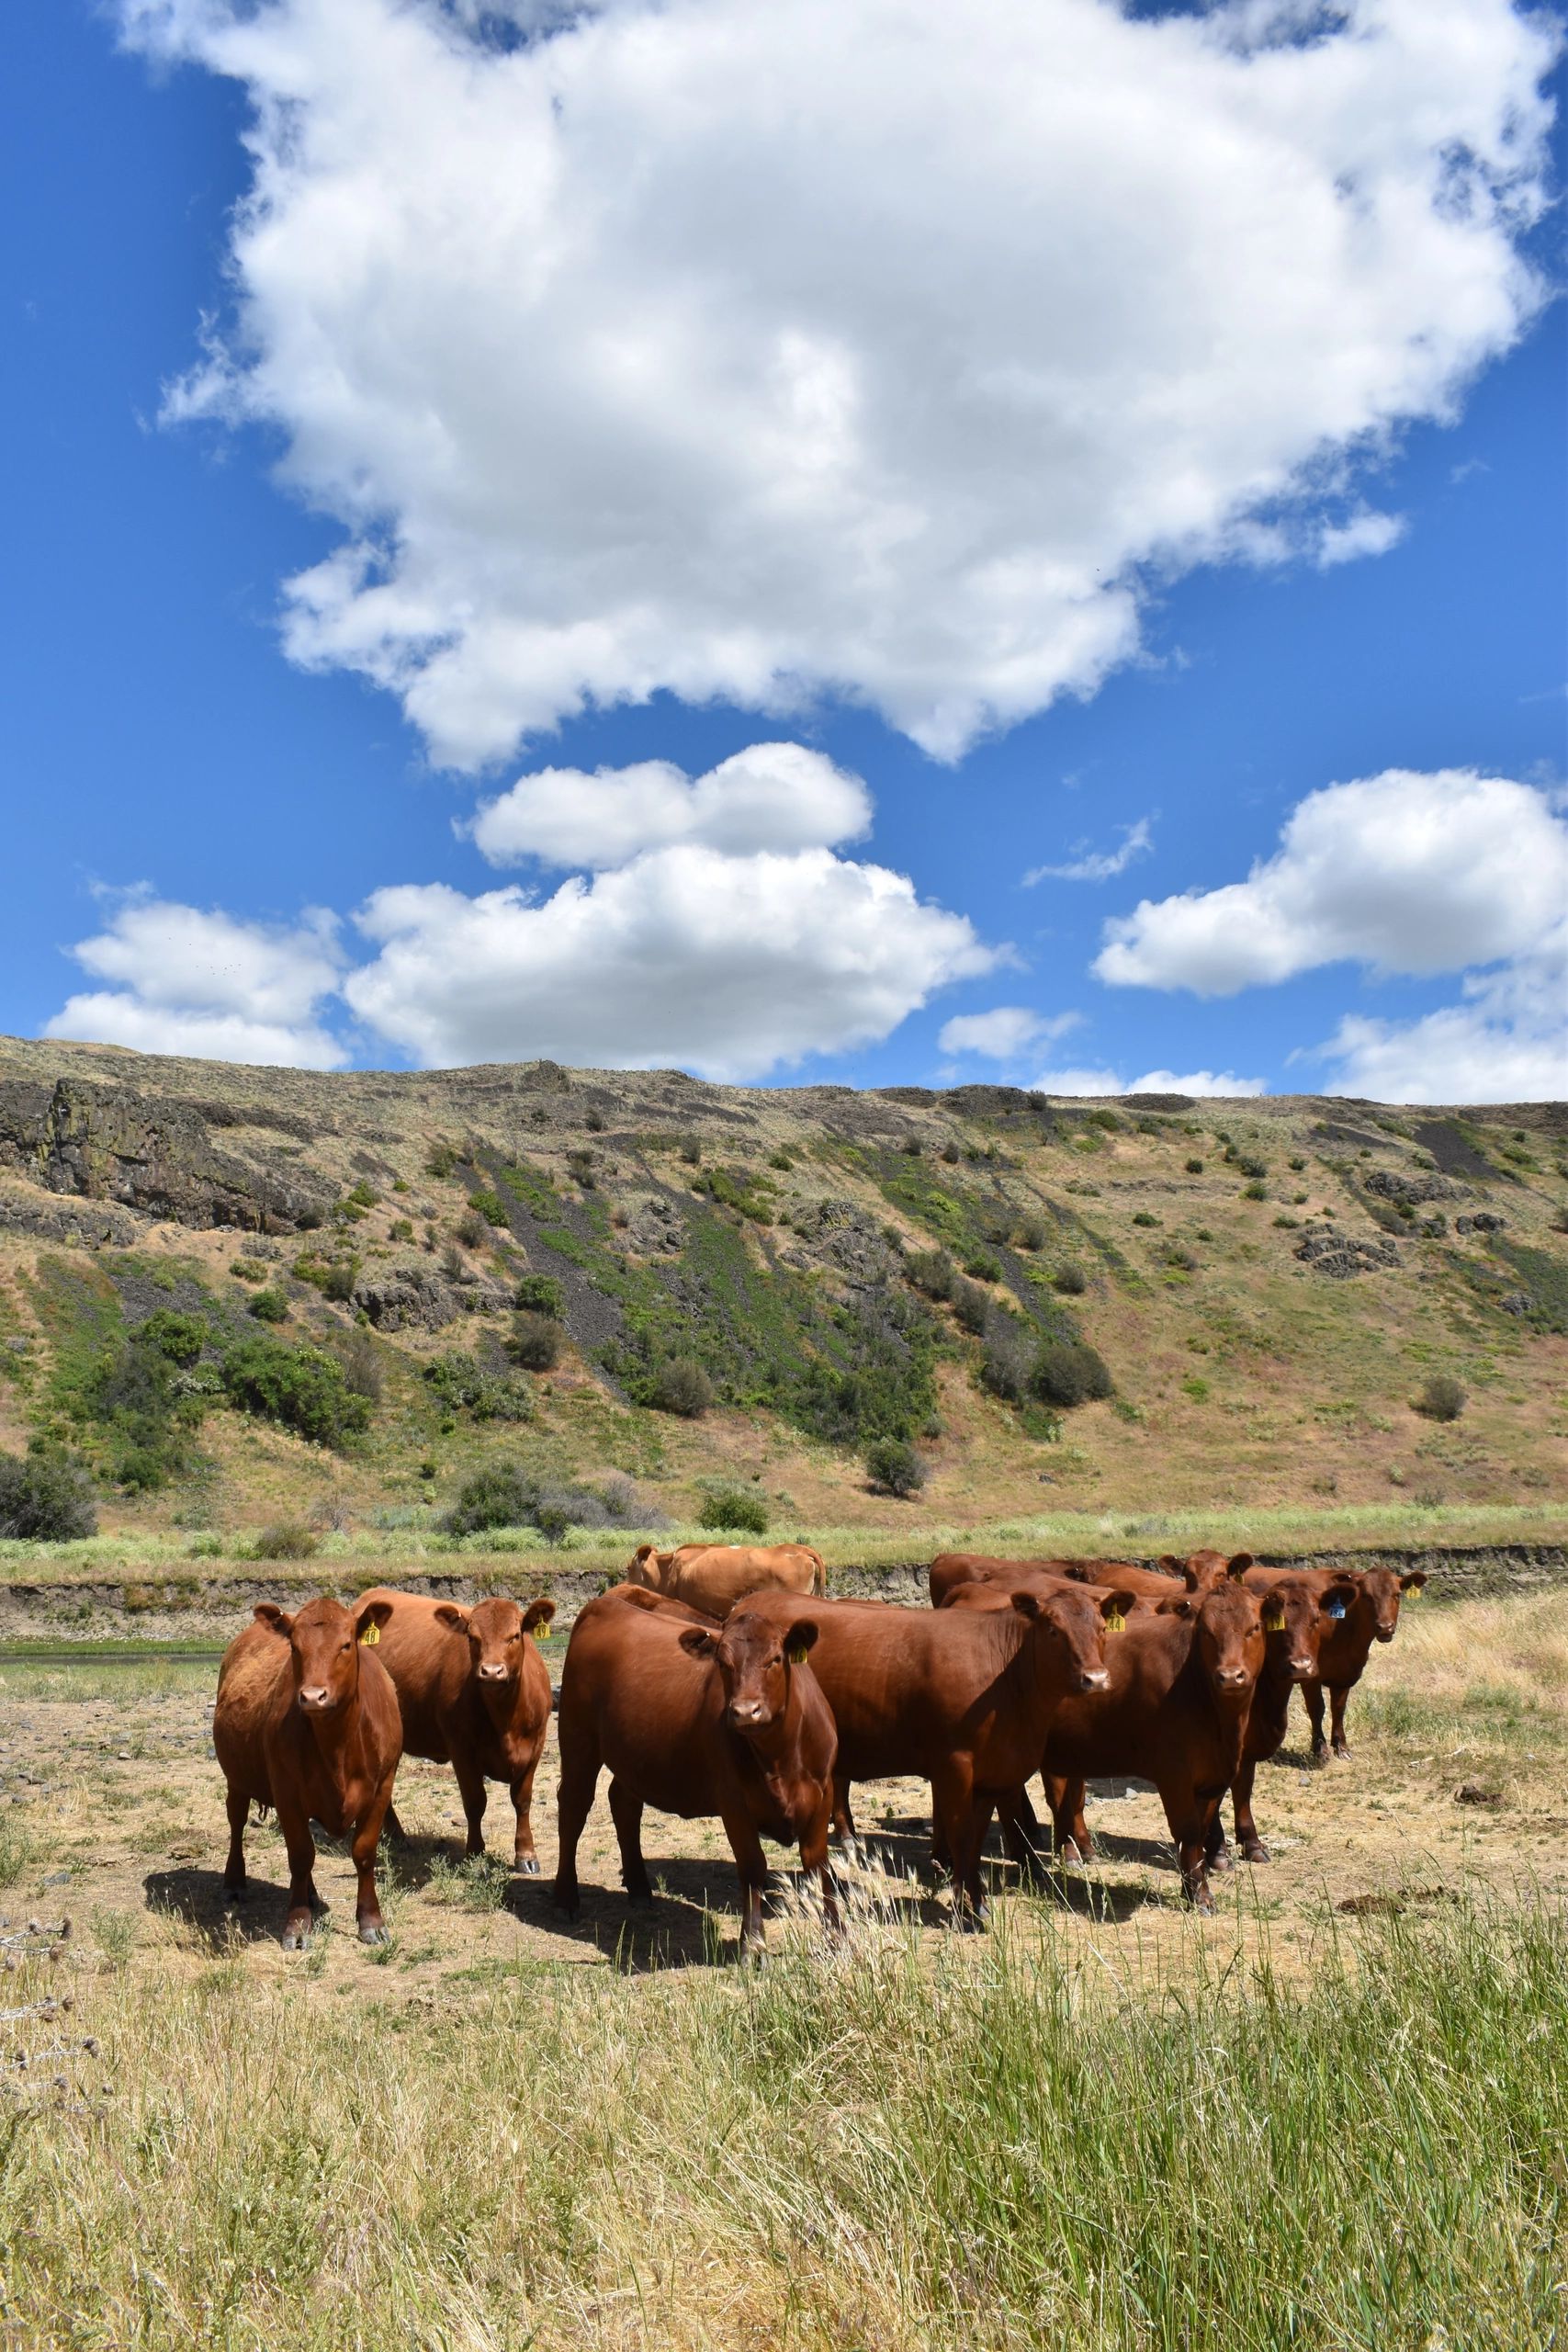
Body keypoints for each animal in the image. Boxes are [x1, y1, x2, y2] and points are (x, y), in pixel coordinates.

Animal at [215, 1593, 401, 1949]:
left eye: (346, 1645)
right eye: (295, 1647)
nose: (313, 1696)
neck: (338, 1746)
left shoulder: (382, 1788)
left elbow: (364, 1853)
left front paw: (371, 1921)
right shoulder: (287, 1793)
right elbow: (300, 1856)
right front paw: (298, 1925)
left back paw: (312, 1895)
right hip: (237, 1778)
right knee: (236, 1821)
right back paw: (233, 1882)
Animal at [355, 1588, 556, 1871]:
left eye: (515, 1636)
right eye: (472, 1638)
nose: (491, 1671)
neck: (506, 1720)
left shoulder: (535, 1747)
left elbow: (522, 1801)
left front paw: (526, 1855)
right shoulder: (462, 1750)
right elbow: (475, 1802)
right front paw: (475, 1854)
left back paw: (396, 1836)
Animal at [553, 1587, 838, 1958]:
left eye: (775, 1659)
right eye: (723, 1663)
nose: (745, 1711)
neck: (780, 1756)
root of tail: (605, 1604)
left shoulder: (823, 1792)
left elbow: (820, 1867)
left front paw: (837, 1940)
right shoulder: (734, 1802)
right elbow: (752, 1867)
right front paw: (752, 1946)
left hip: (632, 1753)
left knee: (624, 1804)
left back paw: (640, 1888)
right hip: (578, 1741)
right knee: (573, 1808)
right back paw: (565, 1898)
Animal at [738, 1584, 1135, 1924]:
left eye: (1102, 1628)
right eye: (1053, 1629)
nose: (1095, 1679)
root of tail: (749, 1602)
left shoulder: (993, 1773)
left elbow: (976, 1839)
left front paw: (968, 1895)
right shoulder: (954, 1766)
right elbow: (961, 1834)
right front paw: (969, 1906)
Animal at [1241, 1563, 1427, 1762]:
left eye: (1397, 1594)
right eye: (1366, 1596)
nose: (1385, 1627)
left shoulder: (1344, 1674)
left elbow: (1338, 1709)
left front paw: (1341, 1746)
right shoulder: (1311, 1675)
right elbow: (1317, 1709)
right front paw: (1320, 1748)